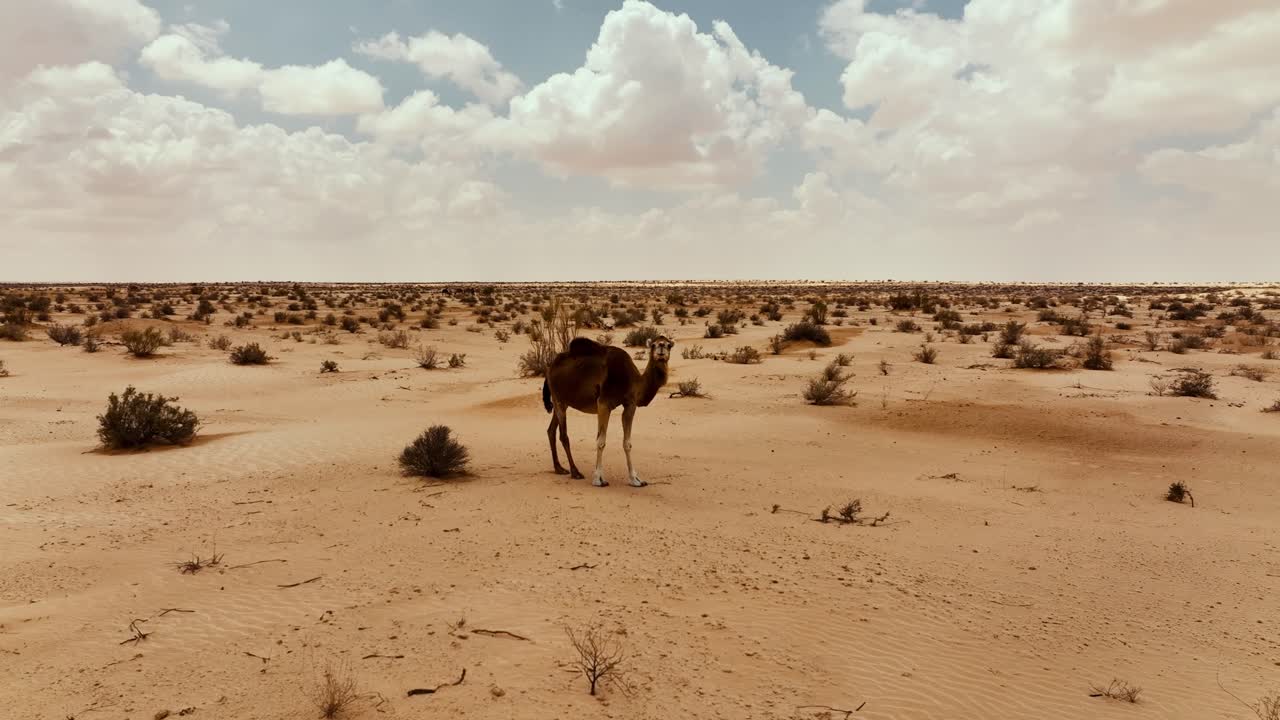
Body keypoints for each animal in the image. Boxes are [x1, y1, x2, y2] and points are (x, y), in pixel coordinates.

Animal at [541, 334, 674, 487]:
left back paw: (559, 468)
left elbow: (627, 443)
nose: (661, 347)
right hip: (558, 399)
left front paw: (636, 479)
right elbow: (601, 441)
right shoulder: (604, 404)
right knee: (563, 435)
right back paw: (575, 472)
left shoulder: (630, 404)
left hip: (563, 401)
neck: (633, 380)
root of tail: (549, 368)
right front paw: (598, 479)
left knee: (551, 430)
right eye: (653, 345)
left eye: (669, 345)